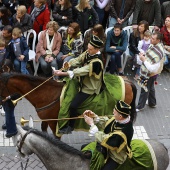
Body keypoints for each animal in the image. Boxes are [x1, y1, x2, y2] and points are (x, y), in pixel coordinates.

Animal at [0, 73, 137, 135]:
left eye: (1, 89)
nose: (2, 105)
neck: (46, 94)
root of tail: (128, 82)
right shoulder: (46, 120)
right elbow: (44, 131)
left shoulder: (54, 123)